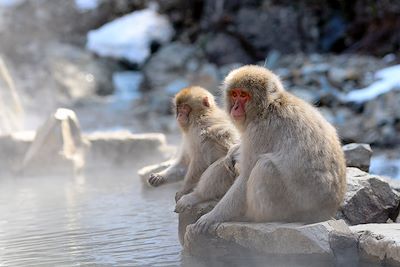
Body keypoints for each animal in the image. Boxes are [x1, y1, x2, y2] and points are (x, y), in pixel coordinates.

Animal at [191, 65, 346, 234]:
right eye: (234, 94)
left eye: (243, 95)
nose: (235, 107)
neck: (267, 107)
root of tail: (327, 210)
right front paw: (234, 150)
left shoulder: (260, 130)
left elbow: (245, 176)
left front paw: (213, 216)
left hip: (296, 207)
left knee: (265, 166)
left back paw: (254, 217)